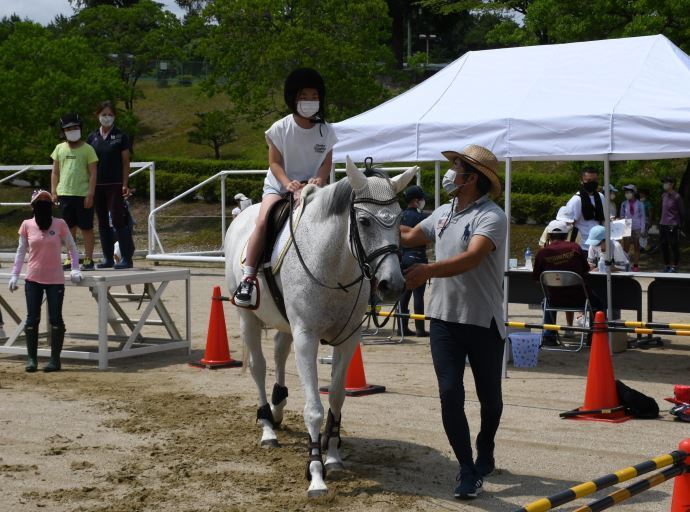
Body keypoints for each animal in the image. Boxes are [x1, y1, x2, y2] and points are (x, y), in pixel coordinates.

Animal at [224, 157, 414, 496]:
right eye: (364, 222)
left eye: (400, 220)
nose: (391, 285)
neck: (333, 266)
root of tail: (243, 212)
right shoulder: (306, 337)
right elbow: (314, 408)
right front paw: (315, 472)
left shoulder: (348, 338)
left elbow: (337, 399)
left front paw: (334, 455)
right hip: (248, 318)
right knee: (259, 367)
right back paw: (267, 426)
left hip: (285, 324)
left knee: (278, 354)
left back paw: (278, 407)